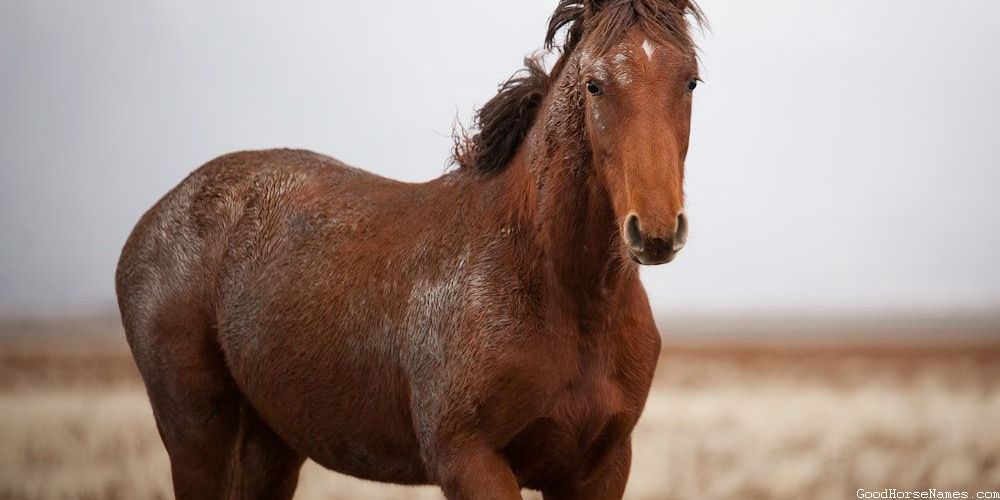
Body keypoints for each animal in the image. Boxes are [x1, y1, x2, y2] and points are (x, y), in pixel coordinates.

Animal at [115, 0, 704, 498]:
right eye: (594, 85)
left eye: (691, 80)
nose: (654, 231)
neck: (563, 297)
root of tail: (151, 222)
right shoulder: (470, 463)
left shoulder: (600, 468)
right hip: (197, 436)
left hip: (271, 445)